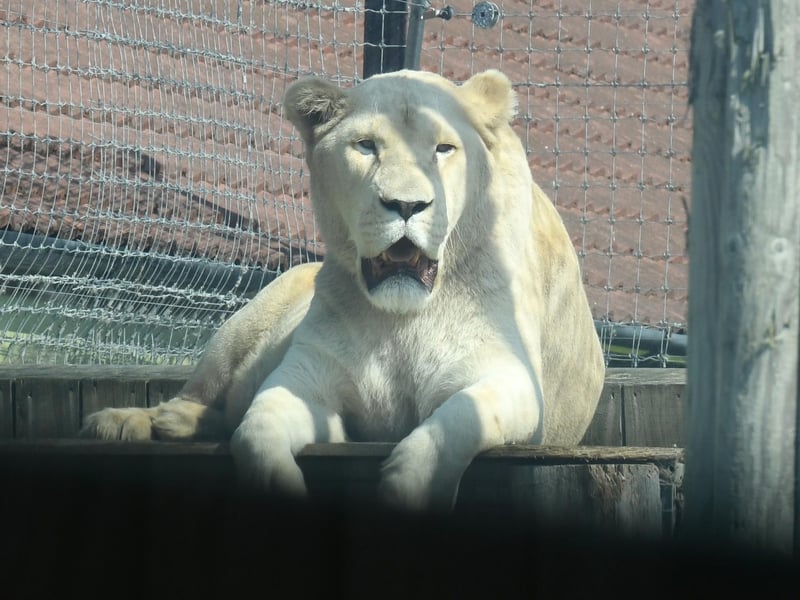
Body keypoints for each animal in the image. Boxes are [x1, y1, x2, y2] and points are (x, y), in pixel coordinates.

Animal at [81, 69, 606, 512]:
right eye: (366, 146)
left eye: (443, 149)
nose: (406, 205)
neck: (399, 319)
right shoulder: (305, 376)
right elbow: (256, 428)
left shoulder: (513, 380)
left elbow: (455, 422)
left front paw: (407, 491)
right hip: (250, 317)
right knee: (204, 396)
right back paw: (131, 421)